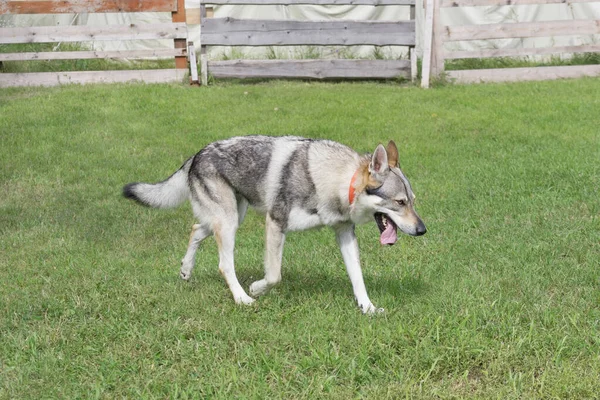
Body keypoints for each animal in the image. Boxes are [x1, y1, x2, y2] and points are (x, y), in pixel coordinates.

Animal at [122, 136, 424, 314]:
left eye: (413, 201)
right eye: (399, 202)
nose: (422, 230)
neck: (336, 181)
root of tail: (197, 153)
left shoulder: (344, 232)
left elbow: (357, 276)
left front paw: (368, 307)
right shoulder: (276, 223)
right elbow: (274, 275)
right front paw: (256, 288)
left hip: (231, 217)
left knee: (195, 230)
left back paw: (186, 270)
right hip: (229, 223)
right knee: (224, 264)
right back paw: (242, 298)